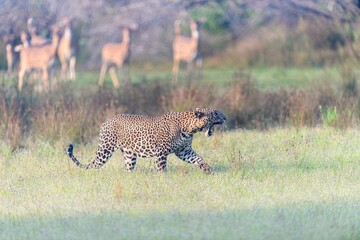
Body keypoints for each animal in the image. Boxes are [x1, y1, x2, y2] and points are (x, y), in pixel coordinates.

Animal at [67, 108, 225, 173]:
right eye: (216, 113)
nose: (225, 117)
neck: (190, 129)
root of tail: (105, 121)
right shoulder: (161, 153)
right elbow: (162, 168)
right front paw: (164, 179)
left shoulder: (184, 151)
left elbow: (198, 159)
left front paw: (207, 169)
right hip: (105, 149)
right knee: (95, 165)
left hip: (129, 155)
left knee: (128, 168)